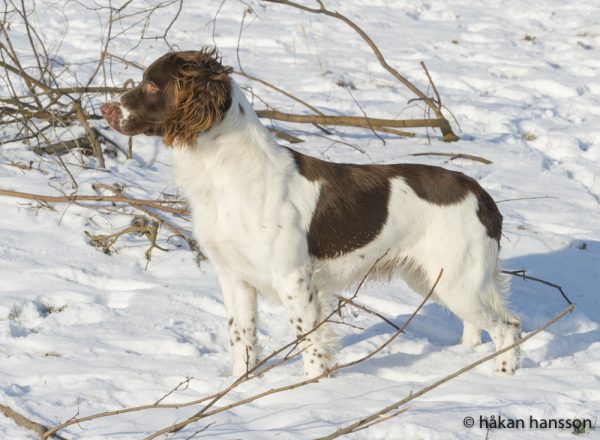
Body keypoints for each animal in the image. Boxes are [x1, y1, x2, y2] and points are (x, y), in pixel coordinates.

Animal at [102, 48, 520, 378]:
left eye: (152, 85)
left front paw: (312, 391)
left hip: (457, 280)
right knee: (481, 326)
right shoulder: (235, 277)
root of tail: (483, 196)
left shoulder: (294, 277)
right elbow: (242, 338)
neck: (226, 174)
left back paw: (503, 375)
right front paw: (237, 391)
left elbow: (308, 340)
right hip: (432, 278)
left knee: (507, 327)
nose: (104, 108)